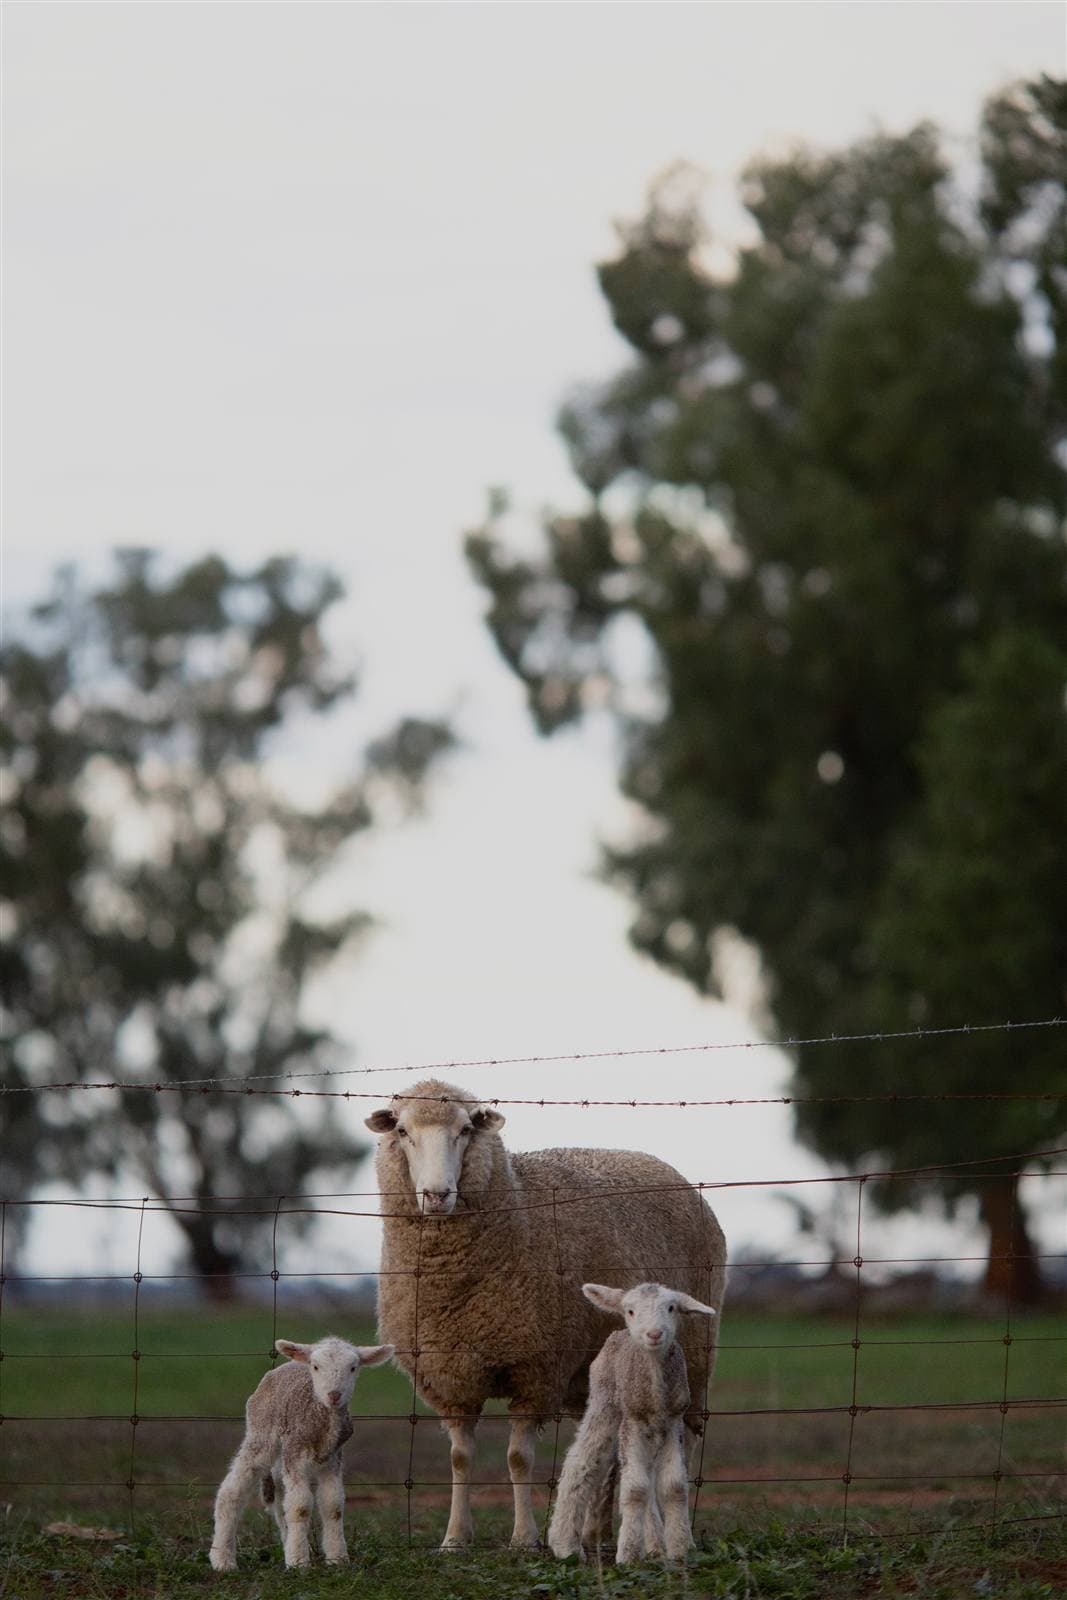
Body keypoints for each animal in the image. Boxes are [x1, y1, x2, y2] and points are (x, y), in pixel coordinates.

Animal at [208, 1334, 394, 1571]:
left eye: (353, 1368)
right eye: (315, 1367)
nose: (334, 1395)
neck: (322, 1423)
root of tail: (285, 1366)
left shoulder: (333, 1458)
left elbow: (333, 1505)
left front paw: (337, 1559)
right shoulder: (295, 1453)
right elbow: (300, 1506)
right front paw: (298, 1562)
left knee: (279, 1494)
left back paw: (287, 1540)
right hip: (262, 1430)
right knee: (233, 1489)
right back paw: (222, 1559)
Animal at [548, 1281, 716, 1564]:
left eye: (671, 1308)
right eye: (630, 1310)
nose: (654, 1334)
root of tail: (620, 1333)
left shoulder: (673, 1423)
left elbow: (673, 1487)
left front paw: (680, 1550)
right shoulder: (632, 1422)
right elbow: (635, 1489)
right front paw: (627, 1554)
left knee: (646, 1477)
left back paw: (655, 1547)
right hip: (605, 1401)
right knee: (581, 1461)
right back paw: (566, 1545)